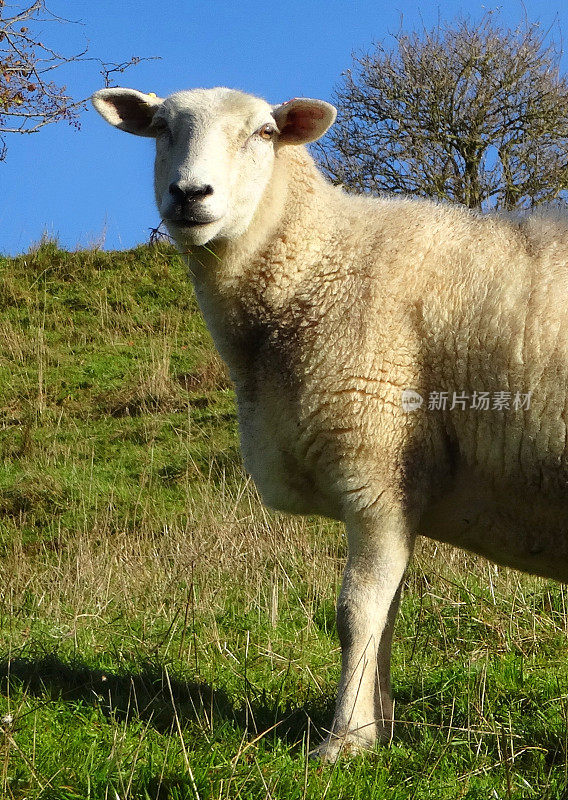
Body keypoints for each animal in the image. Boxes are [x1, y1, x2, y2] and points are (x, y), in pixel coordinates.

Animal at [92, 87, 568, 764]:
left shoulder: (376, 463)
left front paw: (343, 740)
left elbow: (356, 611)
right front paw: (379, 731)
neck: (320, 258)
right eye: (160, 127)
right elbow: (388, 610)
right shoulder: (403, 486)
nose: (190, 194)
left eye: (264, 133)